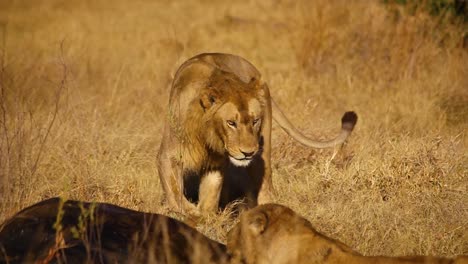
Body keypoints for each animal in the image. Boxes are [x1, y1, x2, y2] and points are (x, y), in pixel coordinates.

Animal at [158, 53, 358, 214]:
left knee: (266, 186)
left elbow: (208, 197)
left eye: (255, 121)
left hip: (263, 152)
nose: (248, 152)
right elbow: (175, 192)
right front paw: (193, 214)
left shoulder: (216, 162)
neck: (208, 136)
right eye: (231, 123)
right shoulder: (169, 156)